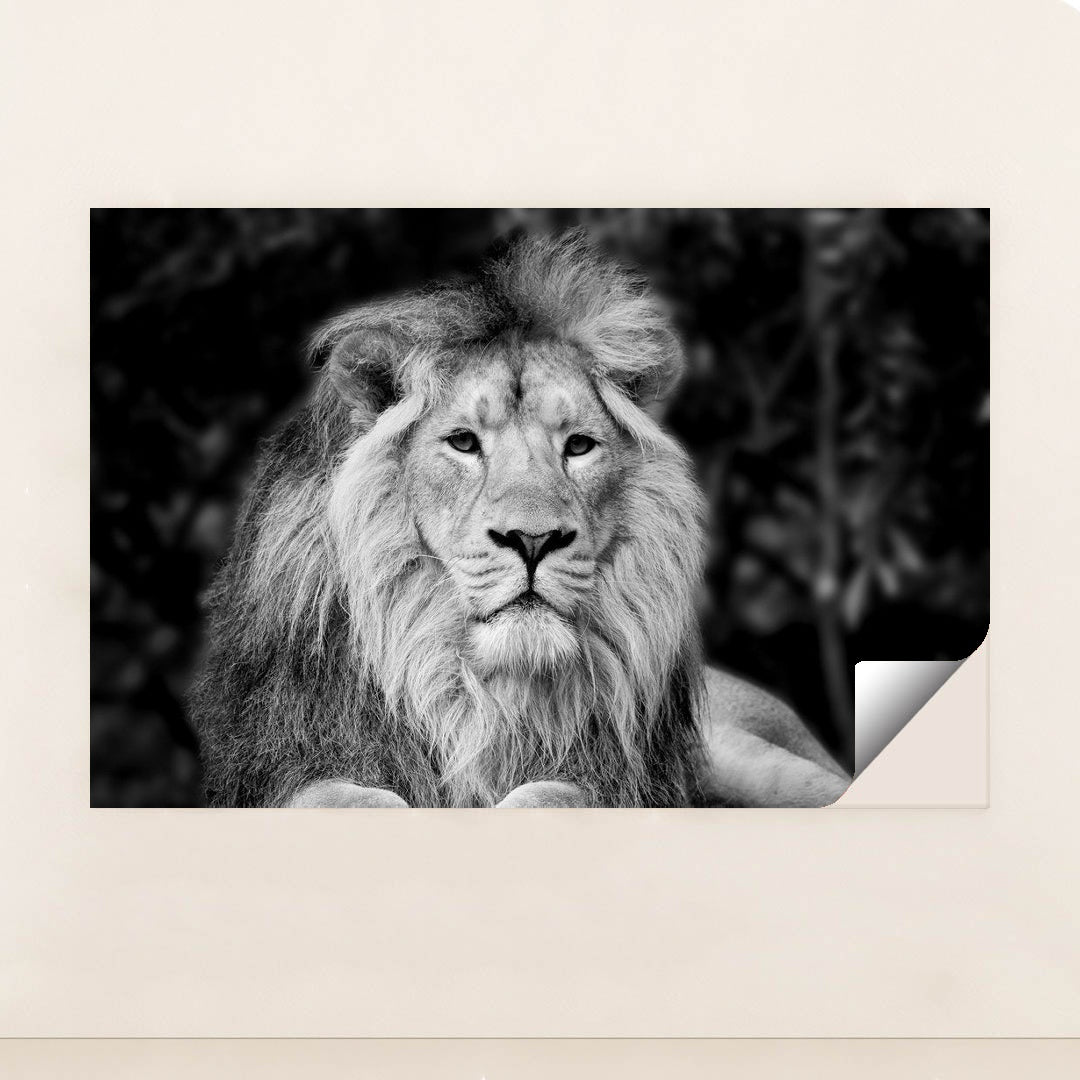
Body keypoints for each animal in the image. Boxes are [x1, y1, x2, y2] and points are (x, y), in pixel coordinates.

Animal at [191, 233, 850, 808]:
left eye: (579, 446)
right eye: (463, 442)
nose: (533, 539)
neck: (475, 694)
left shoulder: (616, 778)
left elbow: (550, 796)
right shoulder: (296, 761)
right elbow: (349, 799)